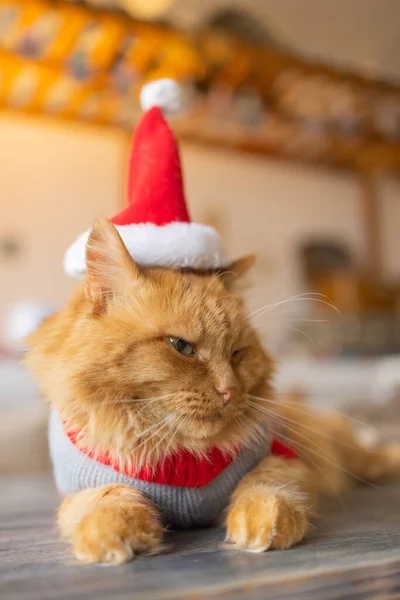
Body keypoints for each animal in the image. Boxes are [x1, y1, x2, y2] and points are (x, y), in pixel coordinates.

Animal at [27, 219, 400, 564]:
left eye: (236, 353)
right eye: (181, 346)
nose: (229, 391)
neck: (185, 456)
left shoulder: (282, 457)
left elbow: (267, 483)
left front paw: (263, 521)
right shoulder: (79, 489)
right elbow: (110, 496)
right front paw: (113, 531)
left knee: (372, 455)